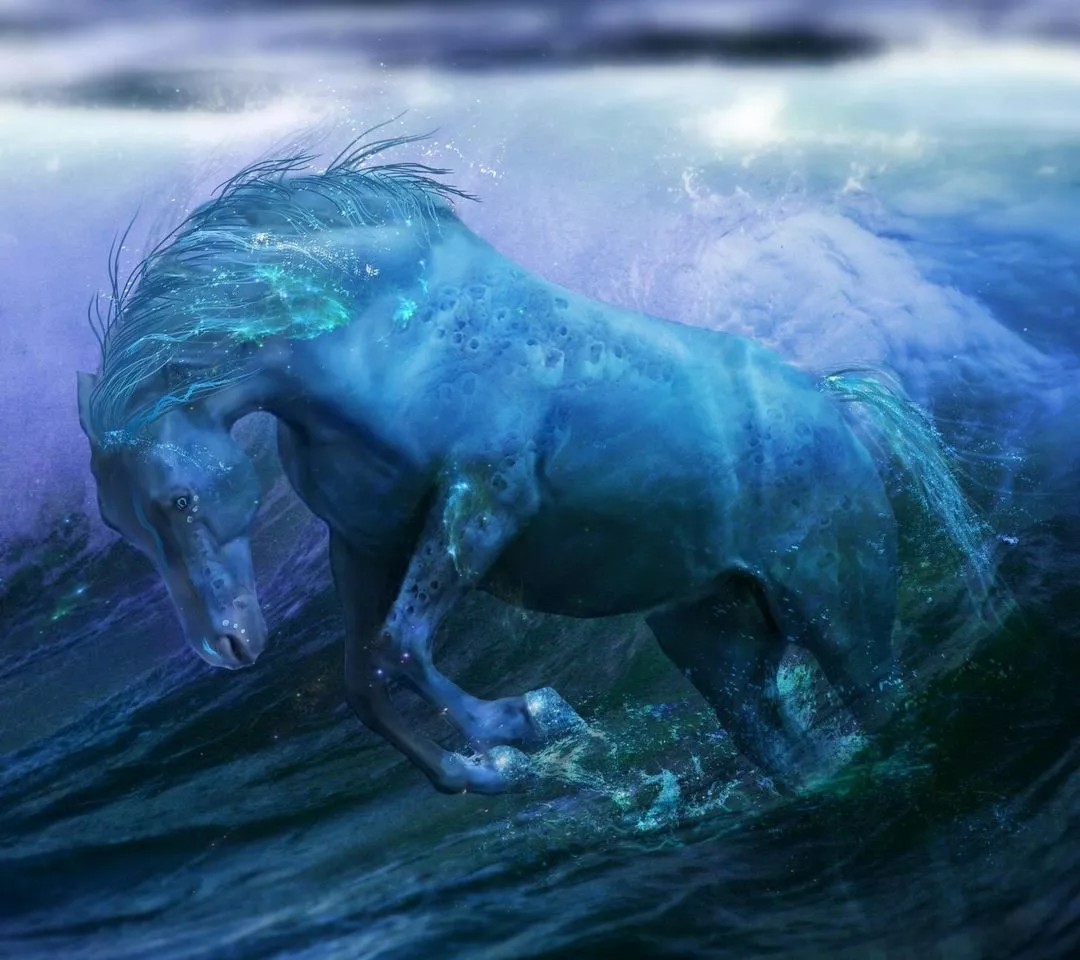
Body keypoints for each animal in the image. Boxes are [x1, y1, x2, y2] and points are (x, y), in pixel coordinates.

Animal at [76, 129, 988, 795]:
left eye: (179, 502)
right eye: (123, 529)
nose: (226, 647)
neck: (382, 344)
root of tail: (834, 399)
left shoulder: (484, 502)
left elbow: (398, 650)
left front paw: (529, 721)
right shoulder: (363, 546)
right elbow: (363, 684)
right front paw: (485, 770)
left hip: (837, 613)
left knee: (877, 697)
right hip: (714, 636)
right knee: (781, 744)